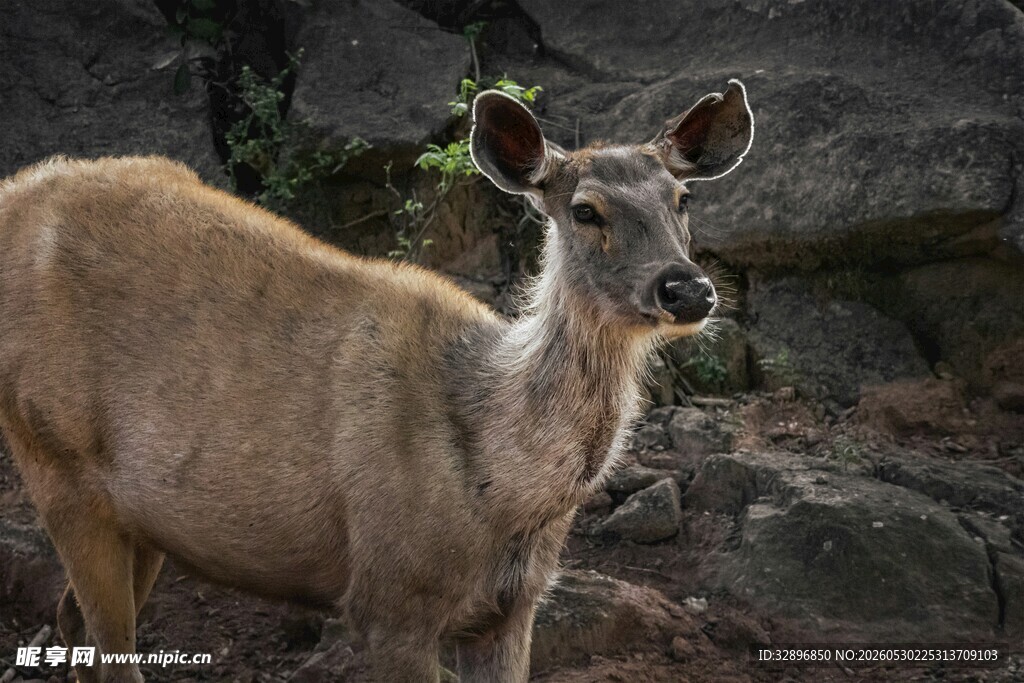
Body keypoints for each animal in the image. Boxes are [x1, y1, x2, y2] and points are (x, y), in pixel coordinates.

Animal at [0, 80, 752, 682]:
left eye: (682, 198)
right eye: (586, 209)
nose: (687, 288)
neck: (498, 488)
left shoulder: (516, 607)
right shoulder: (390, 598)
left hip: (145, 513)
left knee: (73, 625)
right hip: (54, 455)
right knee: (107, 645)